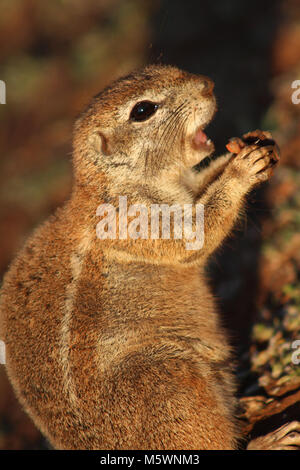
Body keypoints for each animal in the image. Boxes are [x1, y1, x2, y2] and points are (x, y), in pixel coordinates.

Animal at [0, 64, 300, 450]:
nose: (208, 85)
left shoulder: (187, 187)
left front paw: (255, 144)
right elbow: (197, 234)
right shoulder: (139, 220)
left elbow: (204, 183)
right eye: (142, 110)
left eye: (162, 69)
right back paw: (269, 440)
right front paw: (242, 169)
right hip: (169, 379)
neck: (118, 183)